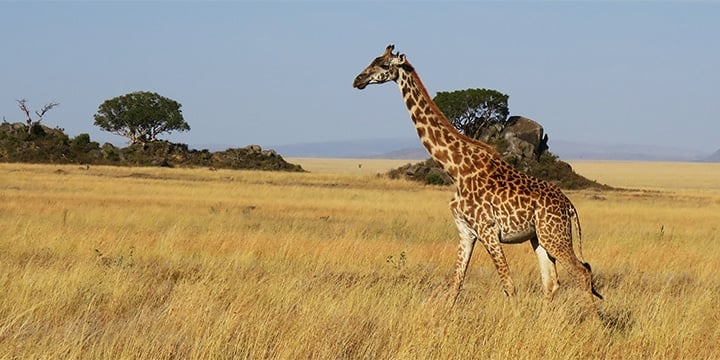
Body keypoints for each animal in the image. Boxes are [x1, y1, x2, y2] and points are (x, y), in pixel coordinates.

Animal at [352, 44, 600, 310]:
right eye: (373, 60)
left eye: (384, 65)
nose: (358, 80)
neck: (456, 169)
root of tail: (569, 206)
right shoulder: (466, 231)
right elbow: (456, 284)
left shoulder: (487, 229)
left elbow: (508, 285)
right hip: (540, 237)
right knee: (552, 281)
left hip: (555, 235)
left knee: (582, 272)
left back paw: (595, 320)